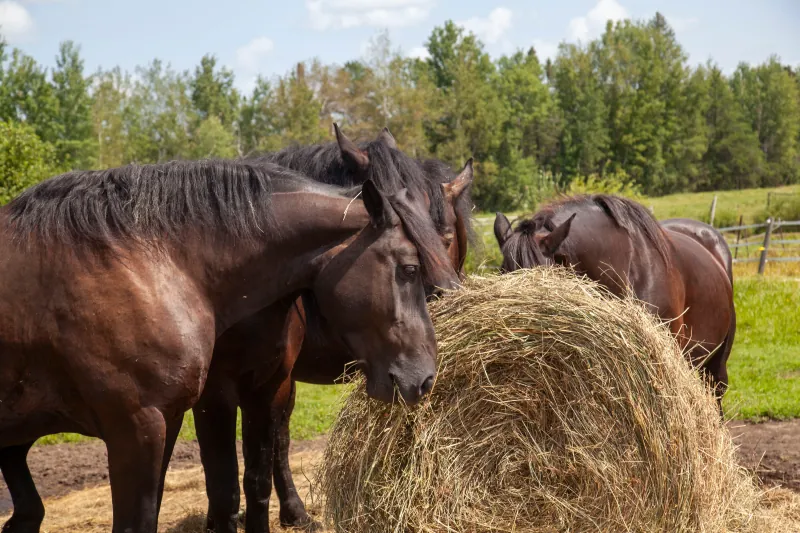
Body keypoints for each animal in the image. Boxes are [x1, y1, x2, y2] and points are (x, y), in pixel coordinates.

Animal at [0, 158, 459, 533]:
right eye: (409, 268)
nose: (424, 378)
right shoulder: (145, 423)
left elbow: (253, 482)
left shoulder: (243, 396)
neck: (152, 263)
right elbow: (215, 493)